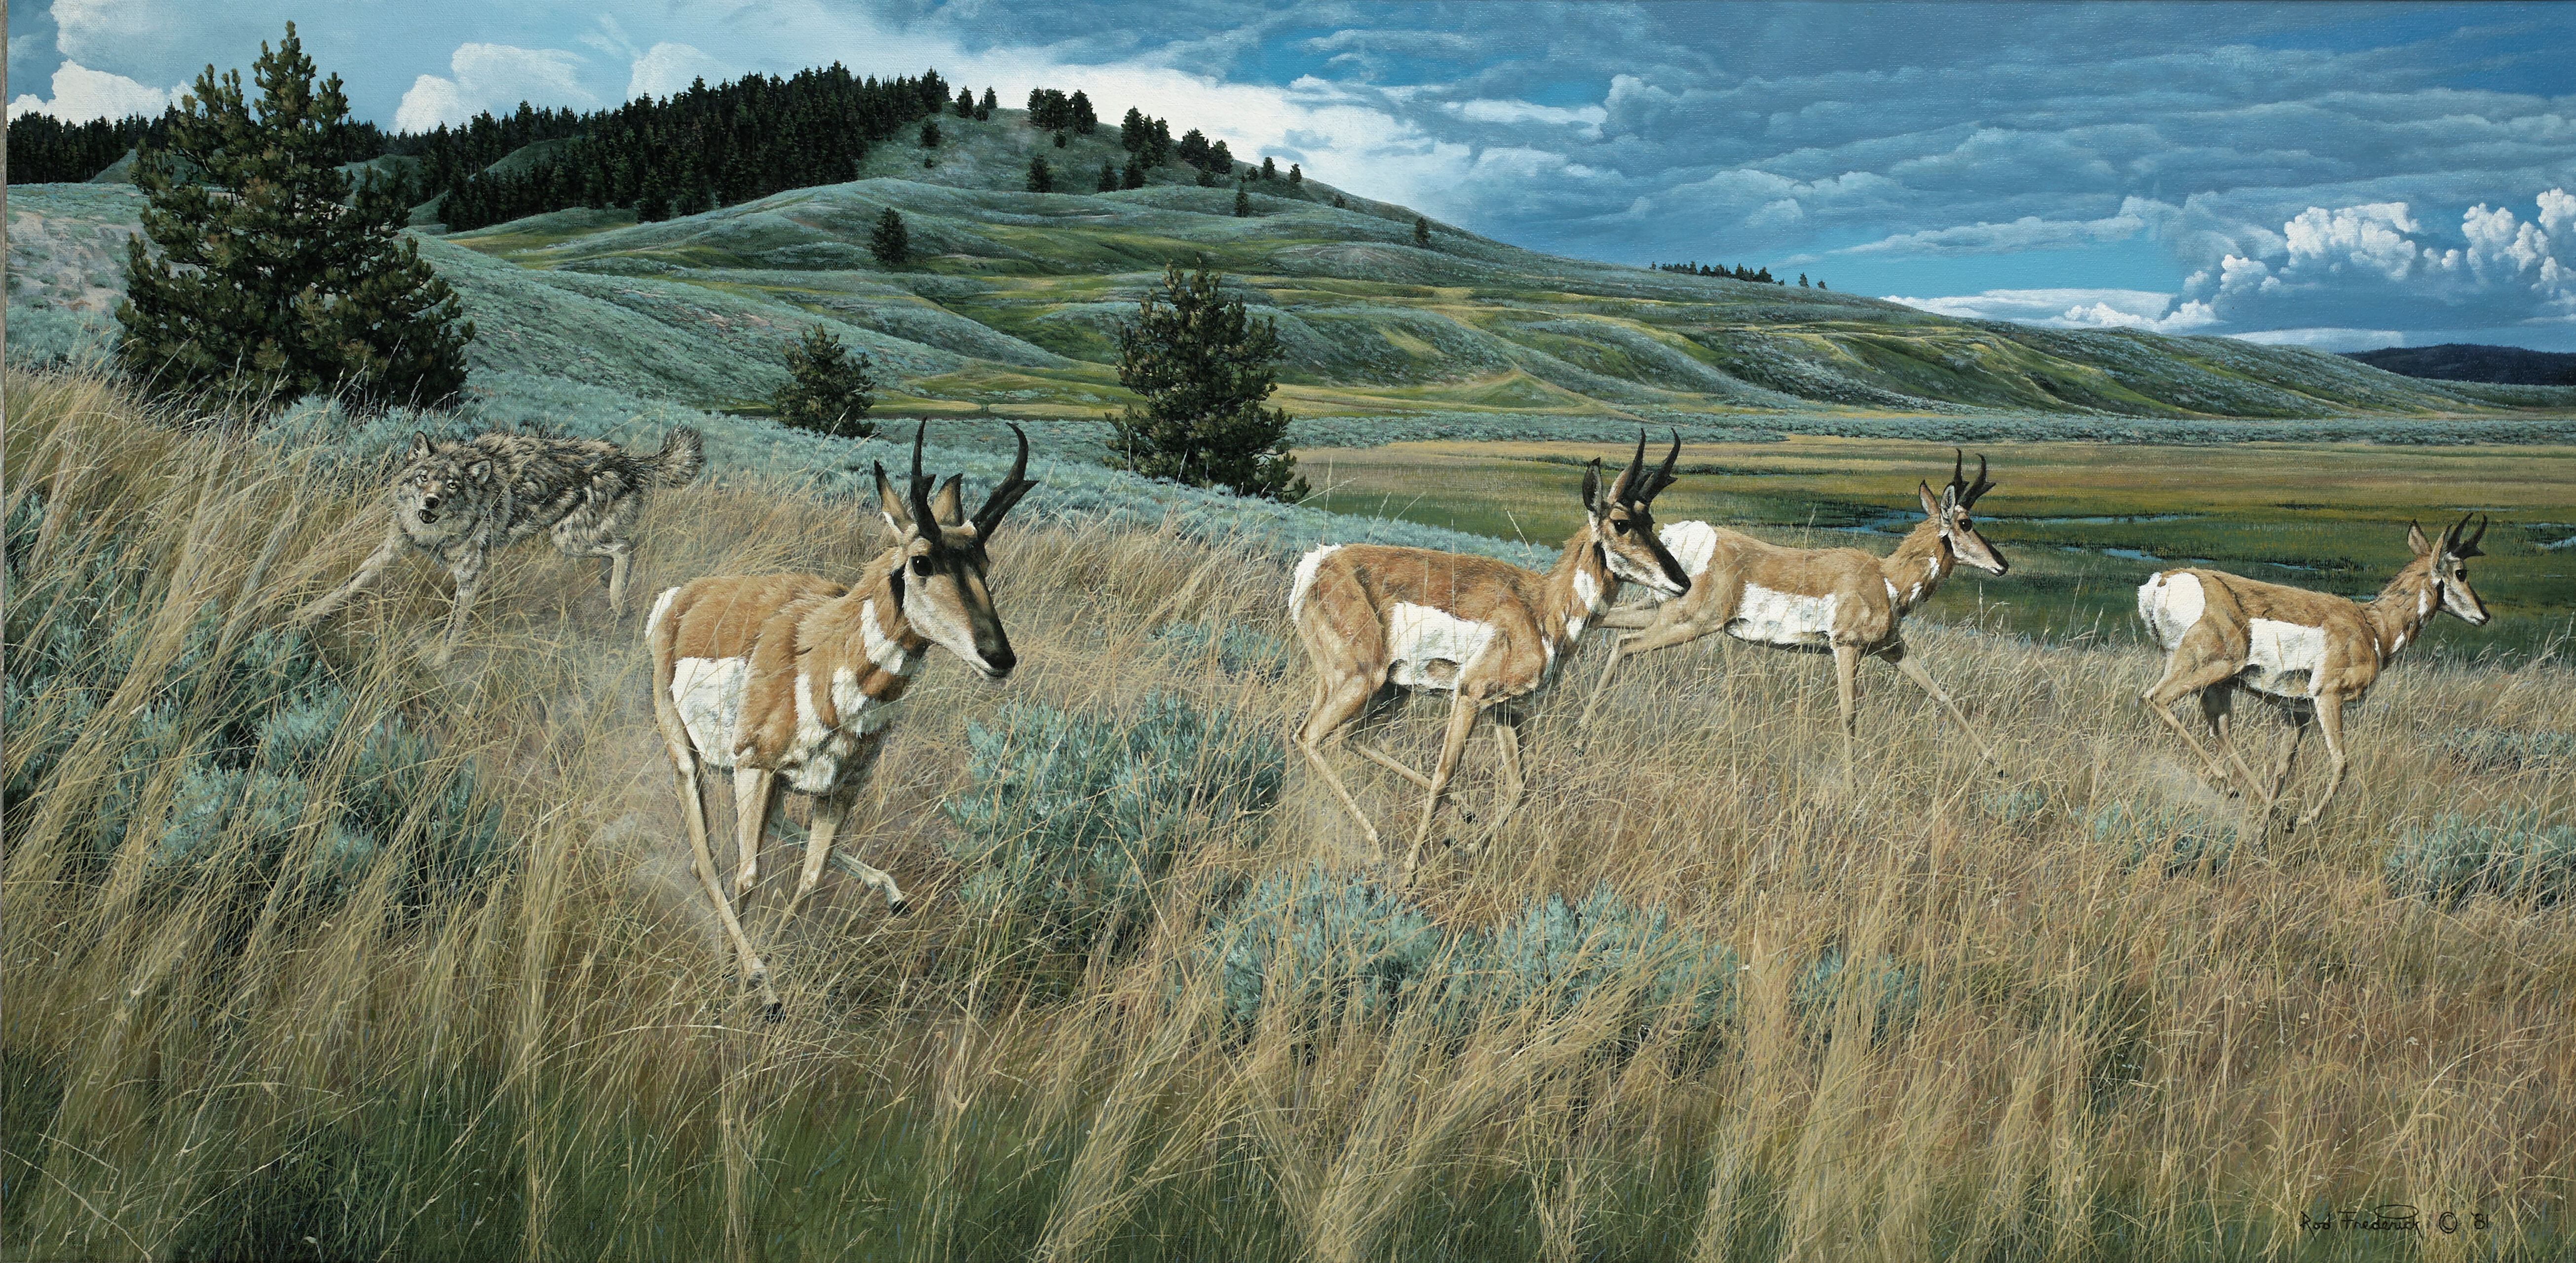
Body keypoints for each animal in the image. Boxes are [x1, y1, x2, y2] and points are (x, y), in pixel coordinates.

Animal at [294, 427, 704, 664]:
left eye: (452, 486)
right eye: (423, 478)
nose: (431, 503)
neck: (433, 534)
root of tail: (629, 459)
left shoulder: (470, 575)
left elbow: (452, 630)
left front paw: (437, 665)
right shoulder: (390, 550)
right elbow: (346, 586)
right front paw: (303, 615)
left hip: (566, 538)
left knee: (626, 546)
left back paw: (618, 600)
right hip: (573, 540)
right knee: (620, 547)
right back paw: (611, 593)